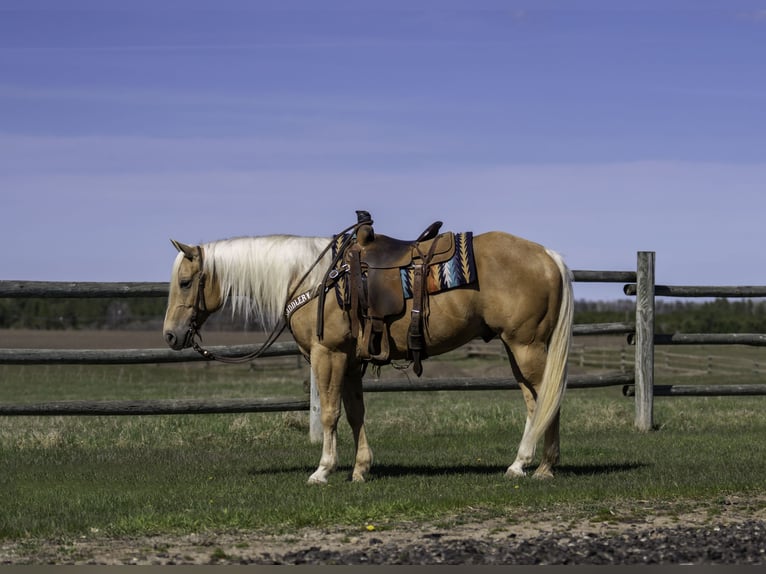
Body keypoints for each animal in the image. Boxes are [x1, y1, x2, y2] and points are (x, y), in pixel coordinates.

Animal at [162, 220, 573, 484]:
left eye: (185, 282)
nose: (170, 335)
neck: (313, 278)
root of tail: (548, 255)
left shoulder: (327, 353)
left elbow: (330, 413)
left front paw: (323, 470)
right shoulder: (349, 358)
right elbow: (355, 412)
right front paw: (360, 469)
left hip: (526, 346)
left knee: (548, 398)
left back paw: (542, 467)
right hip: (517, 348)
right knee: (535, 402)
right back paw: (523, 464)